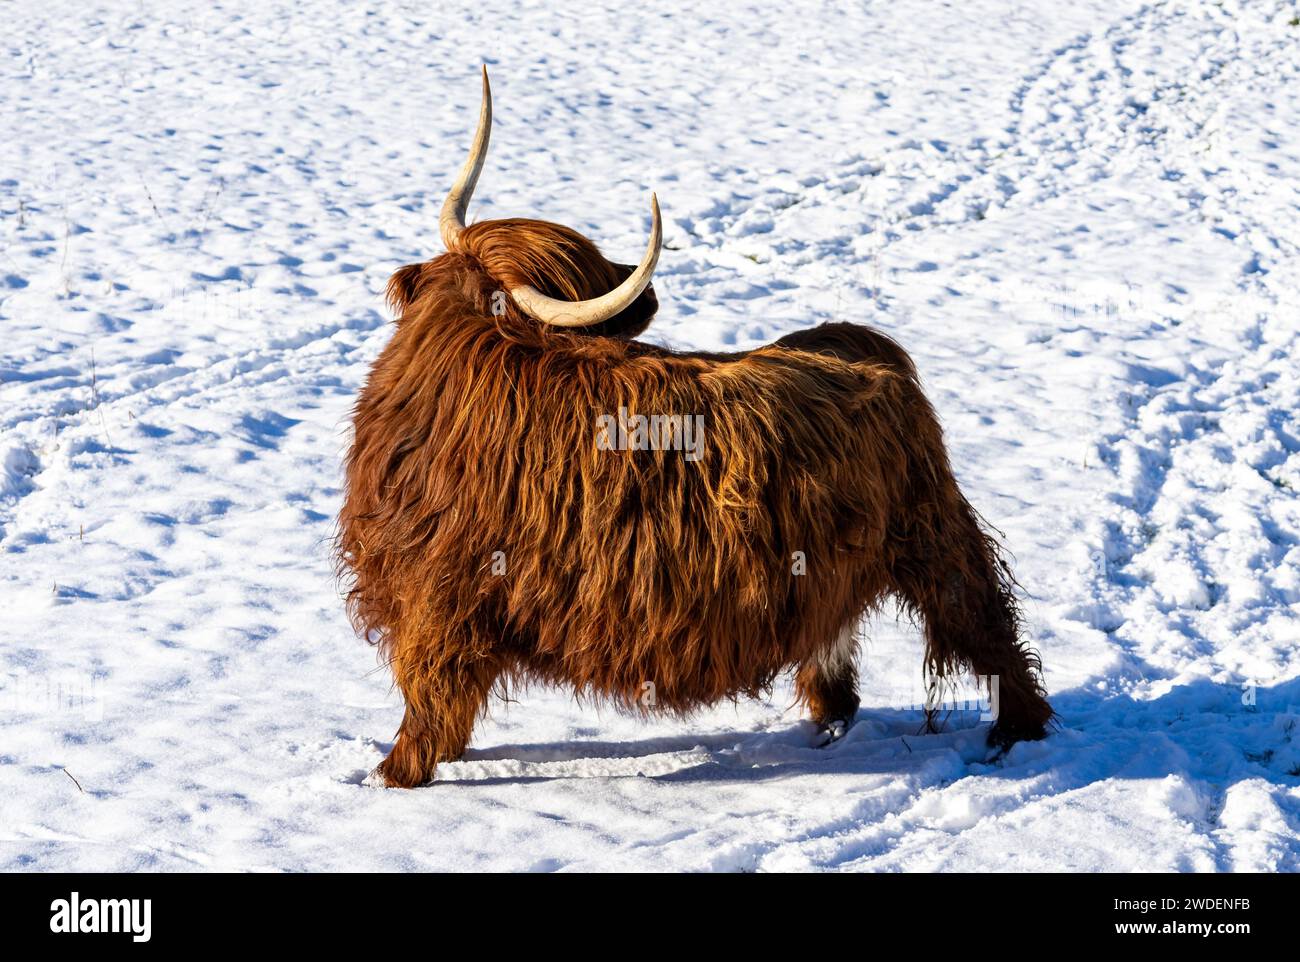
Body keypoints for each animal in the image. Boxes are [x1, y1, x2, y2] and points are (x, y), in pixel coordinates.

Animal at [337, 68, 1053, 787]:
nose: (647, 294)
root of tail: (867, 347)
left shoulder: (441, 592)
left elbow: (430, 689)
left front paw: (396, 774)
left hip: (931, 534)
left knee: (985, 624)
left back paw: (1016, 734)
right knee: (840, 655)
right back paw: (829, 728)